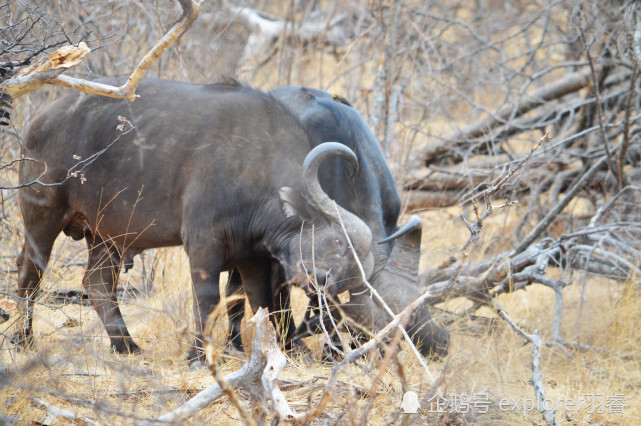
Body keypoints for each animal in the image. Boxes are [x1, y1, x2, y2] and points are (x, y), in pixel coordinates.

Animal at [16, 79, 376, 360]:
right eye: (337, 243)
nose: (325, 292)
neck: (254, 166)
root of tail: (38, 121)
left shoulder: (252, 256)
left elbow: (259, 301)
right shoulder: (204, 243)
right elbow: (207, 300)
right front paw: (198, 356)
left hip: (106, 234)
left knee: (98, 283)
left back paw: (126, 346)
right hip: (42, 219)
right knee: (30, 275)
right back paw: (23, 340)